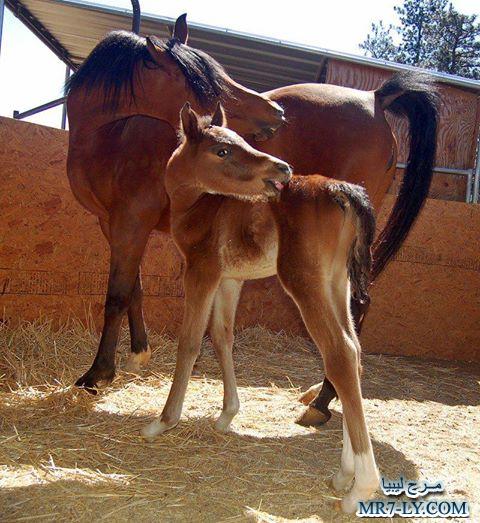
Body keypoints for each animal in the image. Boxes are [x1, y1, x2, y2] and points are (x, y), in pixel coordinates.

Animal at [67, 15, 438, 426]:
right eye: (203, 83)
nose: (275, 113)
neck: (113, 136)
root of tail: (375, 97)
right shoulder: (114, 224)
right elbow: (134, 287)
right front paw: (137, 355)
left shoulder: (131, 223)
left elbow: (116, 294)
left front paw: (96, 374)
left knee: (355, 312)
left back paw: (322, 401)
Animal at [142, 104, 378, 512]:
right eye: (223, 150)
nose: (281, 168)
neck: (201, 205)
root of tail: (341, 190)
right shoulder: (230, 279)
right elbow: (222, 336)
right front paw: (226, 415)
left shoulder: (201, 270)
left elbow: (190, 342)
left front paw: (164, 421)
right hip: (335, 283)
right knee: (356, 352)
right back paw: (343, 474)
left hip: (304, 281)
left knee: (340, 354)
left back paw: (359, 489)